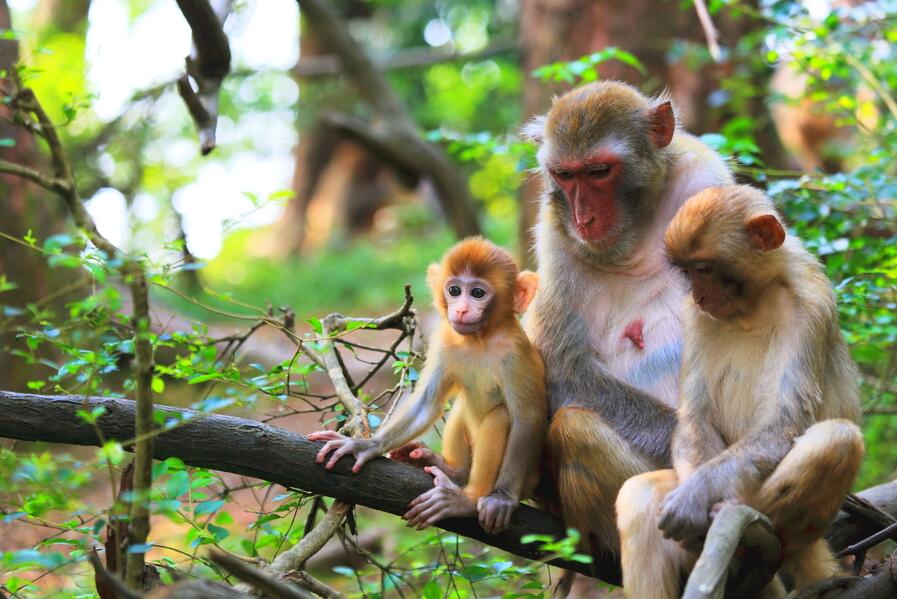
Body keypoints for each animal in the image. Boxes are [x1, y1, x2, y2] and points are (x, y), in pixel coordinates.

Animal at [308, 239, 544, 536]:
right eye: (454, 291)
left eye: (478, 293)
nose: (461, 310)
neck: (480, 340)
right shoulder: (445, 339)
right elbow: (428, 403)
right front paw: (365, 445)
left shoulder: (516, 353)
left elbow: (528, 420)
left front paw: (501, 499)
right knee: (463, 406)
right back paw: (452, 471)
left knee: (500, 415)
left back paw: (469, 498)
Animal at [616, 184, 860, 599]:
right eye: (687, 272)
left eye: (703, 269)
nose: (699, 295)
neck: (755, 303)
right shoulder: (694, 317)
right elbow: (696, 417)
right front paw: (692, 494)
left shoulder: (809, 306)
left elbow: (784, 421)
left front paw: (695, 497)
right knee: (639, 494)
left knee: (837, 439)